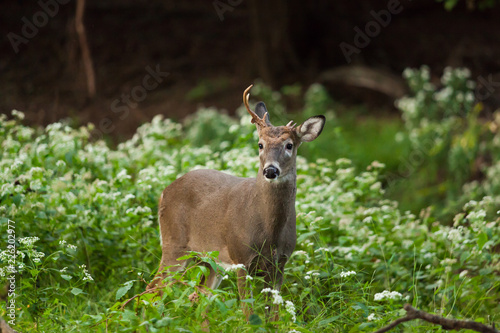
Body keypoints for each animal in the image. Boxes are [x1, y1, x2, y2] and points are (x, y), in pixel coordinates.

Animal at [146, 84, 324, 320]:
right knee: (153, 288)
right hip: (174, 244)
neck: (269, 232)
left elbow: (273, 315)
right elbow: (248, 312)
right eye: (260, 144)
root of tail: (164, 192)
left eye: (289, 145)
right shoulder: (241, 257)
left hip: (210, 259)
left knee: (200, 295)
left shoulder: (280, 263)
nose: (270, 170)